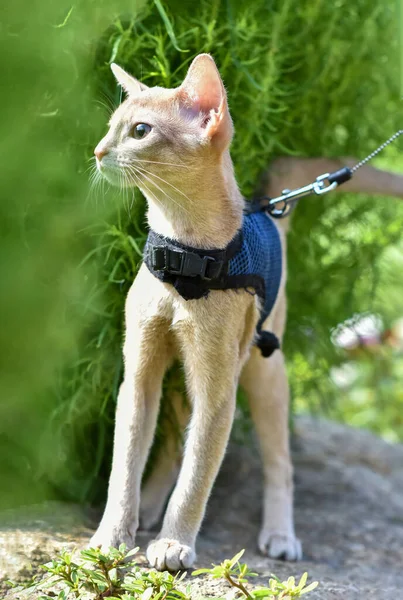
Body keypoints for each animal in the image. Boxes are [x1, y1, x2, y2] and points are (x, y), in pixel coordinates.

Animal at [90, 52, 302, 572]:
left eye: (140, 130)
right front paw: (112, 536)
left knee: (280, 462)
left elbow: (199, 472)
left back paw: (280, 535)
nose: (99, 152)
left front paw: (174, 544)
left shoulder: (218, 386)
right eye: (111, 126)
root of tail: (270, 212)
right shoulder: (139, 374)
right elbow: (125, 462)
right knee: (169, 447)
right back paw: (149, 508)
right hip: (182, 375)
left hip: (263, 370)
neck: (183, 255)